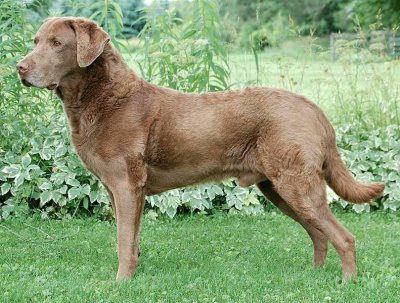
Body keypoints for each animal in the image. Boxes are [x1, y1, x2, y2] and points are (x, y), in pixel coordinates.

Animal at [17, 16, 386, 282]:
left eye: (57, 43)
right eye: (35, 42)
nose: (20, 68)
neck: (103, 97)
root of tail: (314, 109)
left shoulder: (126, 185)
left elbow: (123, 241)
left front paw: (119, 284)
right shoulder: (122, 191)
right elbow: (131, 239)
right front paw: (133, 276)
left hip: (296, 184)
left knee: (343, 236)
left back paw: (347, 283)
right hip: (278, 187)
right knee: (319, 234)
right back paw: (314, 276)